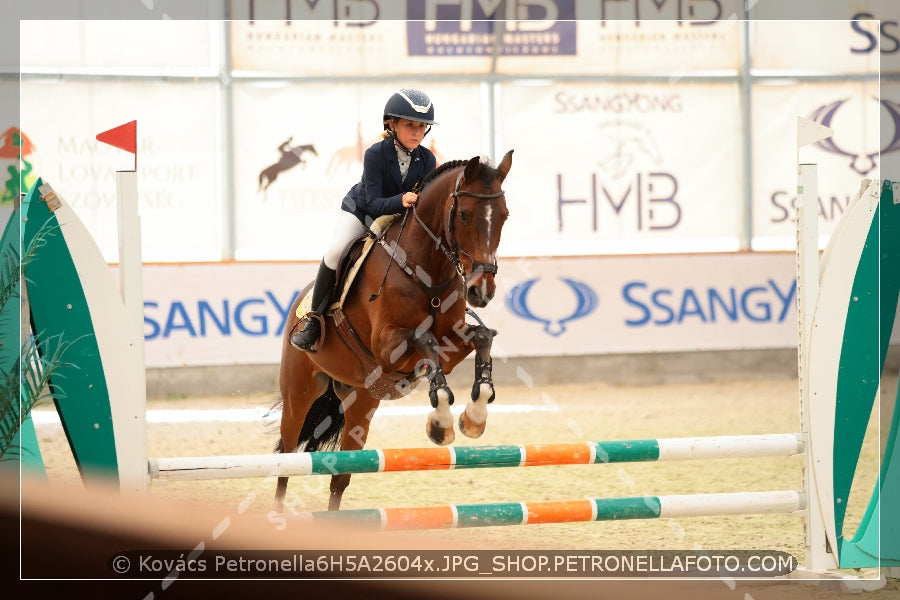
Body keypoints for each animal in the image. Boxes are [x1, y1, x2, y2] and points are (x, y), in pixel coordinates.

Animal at [274, 150, 512, 510]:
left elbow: (482, 337)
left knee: (339, 477)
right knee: (286, 461)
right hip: (299, 392)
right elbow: (424, 339)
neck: (427, 271)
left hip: (361, 400)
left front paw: (474, 417)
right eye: (465, 215)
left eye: (504, 216)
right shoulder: (388, 348)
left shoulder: (451, 343)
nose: (481, 291)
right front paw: (441, 423)